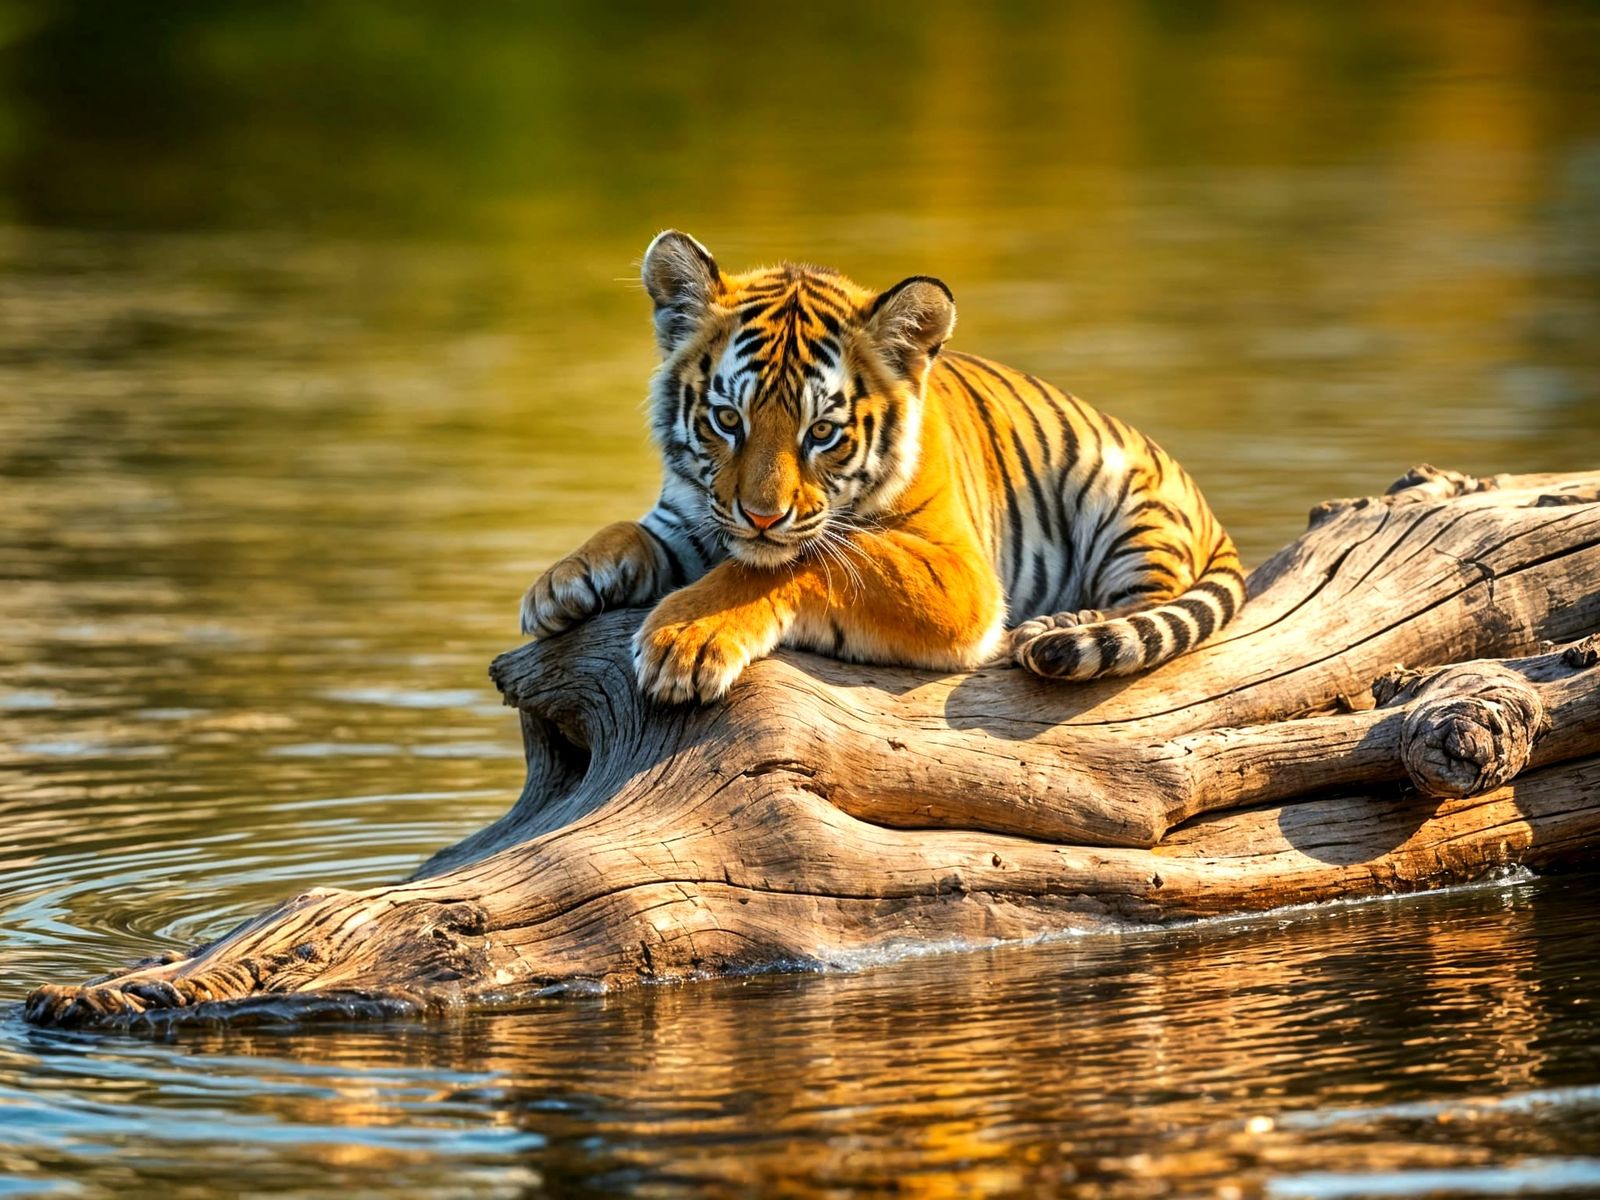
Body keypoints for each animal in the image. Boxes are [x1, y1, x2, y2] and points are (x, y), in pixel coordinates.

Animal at [520, 231, 1245, 704]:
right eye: (727, 420)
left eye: (822, 432)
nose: (761, 517)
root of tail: (1208, 509)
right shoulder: (690, 514)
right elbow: (627, 531)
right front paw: (556, 587)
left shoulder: (956, 571)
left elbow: (796, 563)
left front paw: (685, 639)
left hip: (1121, 497)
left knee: (1150, 604)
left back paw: (1063, 626)